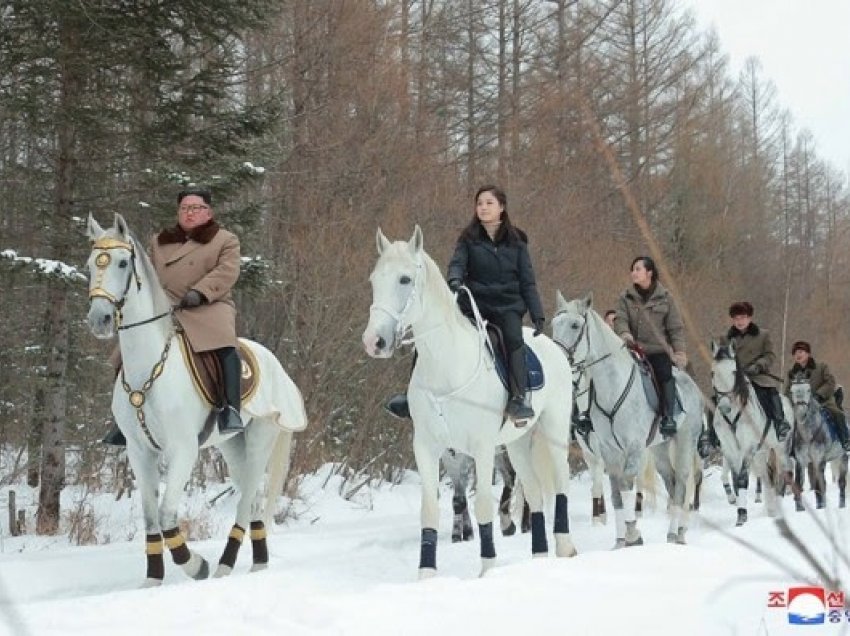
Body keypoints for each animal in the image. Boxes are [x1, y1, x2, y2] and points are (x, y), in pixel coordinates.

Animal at [85, 215, 304, 588]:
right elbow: (150, 518)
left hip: (260, 438)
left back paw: (225, 566)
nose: (99, 319)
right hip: (232, 446)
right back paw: (257, 564)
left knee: (246, 501)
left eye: (122, 262)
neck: (149, 369)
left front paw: (195, 565)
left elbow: (166, 515)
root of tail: (273, 360)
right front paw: (152, 580)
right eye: (89, 265)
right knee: (253, 500)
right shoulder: (139, 452)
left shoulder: (182, 450)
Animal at [362, 227, 572, 576]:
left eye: (405, 279)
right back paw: (540, 556)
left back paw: (566, 548)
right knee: (534, 492)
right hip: (518, 442)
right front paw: (427, 574)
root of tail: (553, 347)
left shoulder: (482, 447)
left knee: (560, 483)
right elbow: (430, 510)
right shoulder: (428, 447)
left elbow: (484, 504)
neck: (447, 365)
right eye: (374, 279)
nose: (373, 341)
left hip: (553, 430)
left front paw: (487, 568)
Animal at [548, 294, 704, 548]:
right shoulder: (607, 451)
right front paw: (621, 540)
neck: (612, 387)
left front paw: (632, 534)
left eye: (574, 325)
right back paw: (674, 531)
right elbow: (615, 493)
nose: (558, 360)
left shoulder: (633, 448)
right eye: (554, 324)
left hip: (685, 443)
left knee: (682, 483)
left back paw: (678, 533)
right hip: (660, 450)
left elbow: (627, 485)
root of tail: (692, 384)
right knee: (671, 482)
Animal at [704, 340, 792, 524]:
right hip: (761, 453)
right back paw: (770, 510)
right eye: (713, 373)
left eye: (734, 371)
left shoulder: (747, 449)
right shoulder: (729, 450)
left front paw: (742, 516)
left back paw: (779, 509)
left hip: (781, 449)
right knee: (766, 477)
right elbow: (735, 479)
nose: (724, 407)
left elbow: (742, 479)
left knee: (784, 473)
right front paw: (738, 508)